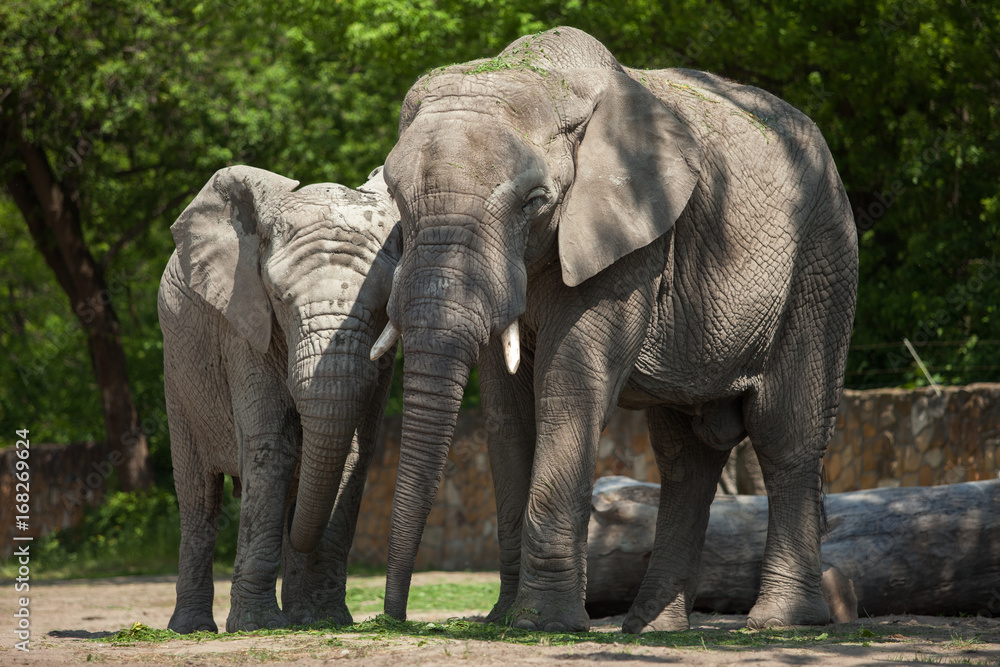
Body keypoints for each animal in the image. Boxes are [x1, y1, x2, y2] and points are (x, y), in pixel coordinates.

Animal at [158, 165, 400, 632]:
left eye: (383, 301)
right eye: (280, 299)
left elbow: (353, 456)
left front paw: (326, 619)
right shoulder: (242, 319)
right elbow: (271, 447)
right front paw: (256, 625)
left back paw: (299, 617)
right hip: (178, 377)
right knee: (199, 496)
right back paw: (192, 628)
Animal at [369, 27, 858, 633]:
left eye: (534, 202)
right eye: (394, 197)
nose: (394, 618)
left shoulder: (628, 236)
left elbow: (569, 388)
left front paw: (544, 624)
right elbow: (507, 415)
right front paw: (506, 619)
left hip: (824, 257)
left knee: (783, 430)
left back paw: (781, 623)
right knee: (684, 454)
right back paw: (653, 627)